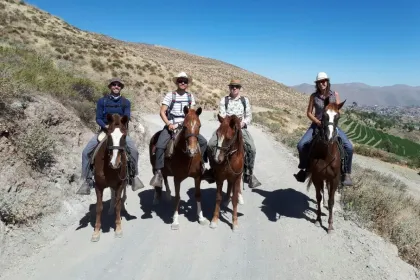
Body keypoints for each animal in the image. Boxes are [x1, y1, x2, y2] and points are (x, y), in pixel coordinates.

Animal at [92, 113, 130, 241]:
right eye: (109, 135)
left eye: (124, 136)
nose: (115, 163)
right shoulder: (98, 186)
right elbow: (98, 208)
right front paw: (96, 232)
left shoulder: (119, 184)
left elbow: (118, 206)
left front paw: (118, 229)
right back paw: (110, 209)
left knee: (122, 195)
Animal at [306, 96, 344, 234]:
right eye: (324, 115)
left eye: (338, 116)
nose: (329, 137)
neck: (326, 154)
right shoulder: (317, 177)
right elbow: (318, 196)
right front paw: (318, 220)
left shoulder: (334, 179)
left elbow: (331, 201)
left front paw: (330, 225)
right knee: (322, 192)